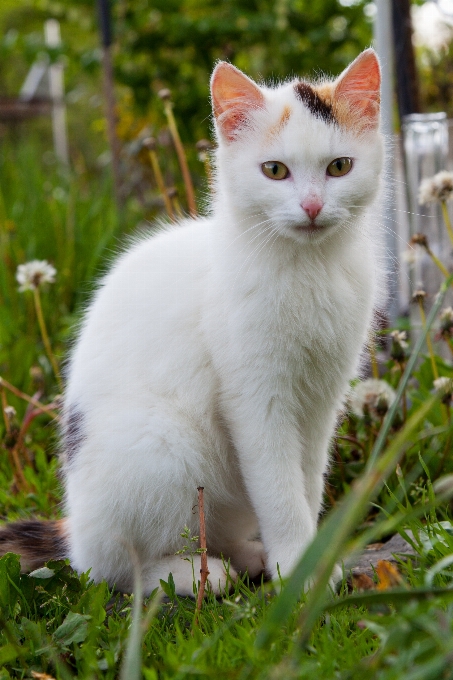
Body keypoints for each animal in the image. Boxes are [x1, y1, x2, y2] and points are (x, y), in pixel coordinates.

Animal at [0, 49, 384, 596]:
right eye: (274, 170)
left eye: (339, 167)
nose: (312, 206)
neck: (307, 269)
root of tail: (74, 530)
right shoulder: (255, 397)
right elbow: (279, 487)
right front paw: (297, 572)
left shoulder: (322, 396)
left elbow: (307, 481)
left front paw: (306, 562)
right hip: (161, 446)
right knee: (112, 568)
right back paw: (194, 573)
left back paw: (245, 555)